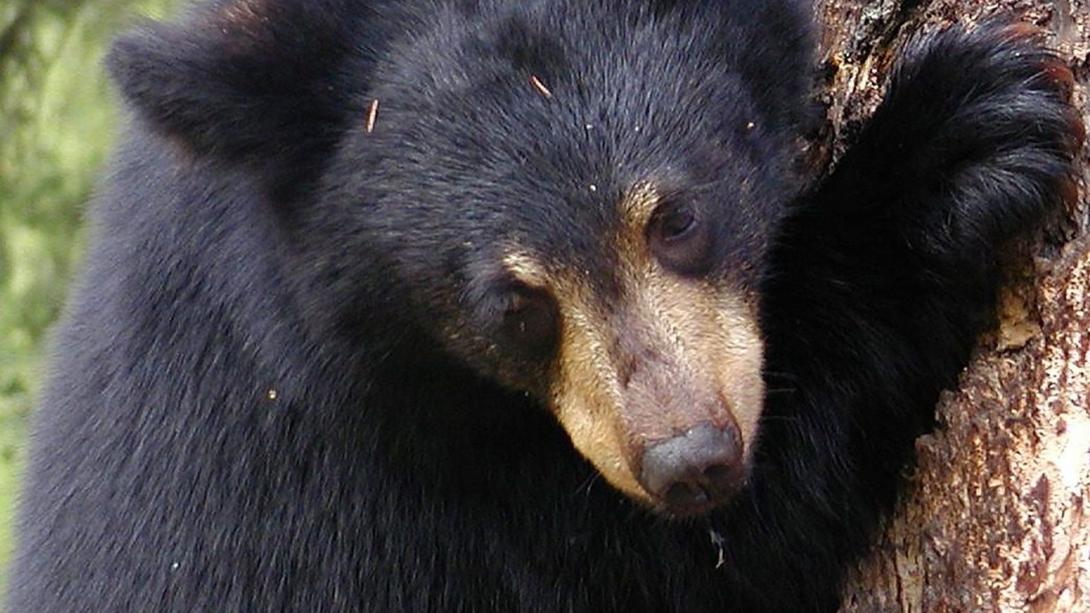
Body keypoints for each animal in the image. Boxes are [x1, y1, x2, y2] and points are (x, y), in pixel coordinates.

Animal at [6, 0, 1081, 606]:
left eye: (676, 217)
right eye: (513, 304)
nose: (693, 461)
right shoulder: (374, 478)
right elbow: (690, 561)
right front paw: (955, 141)